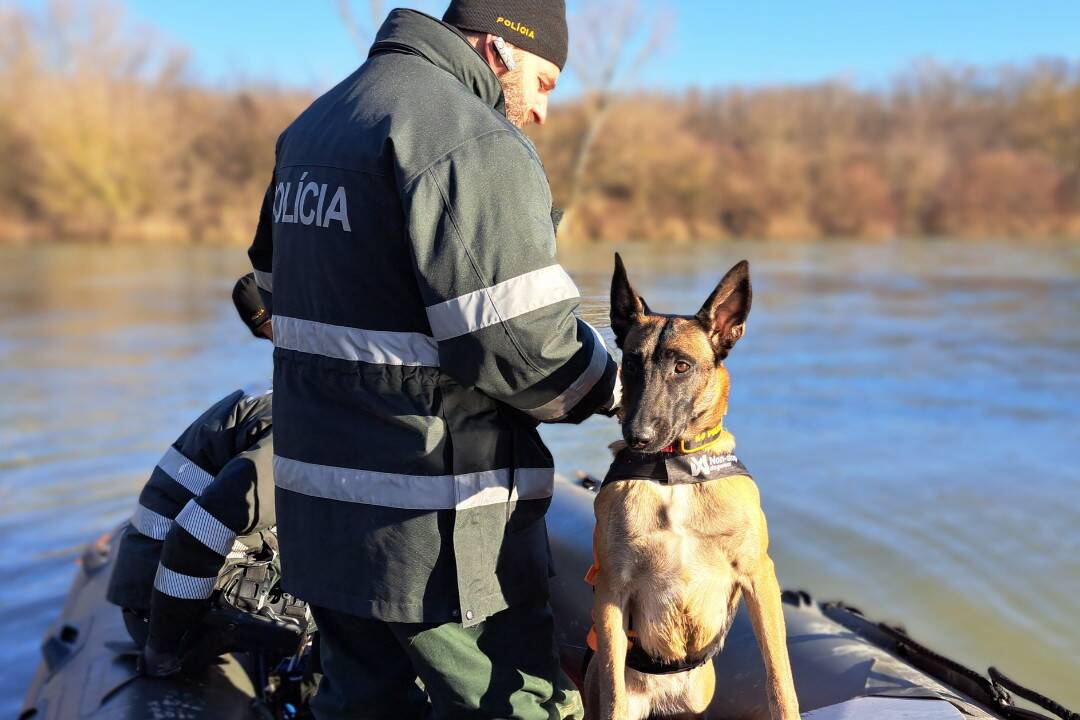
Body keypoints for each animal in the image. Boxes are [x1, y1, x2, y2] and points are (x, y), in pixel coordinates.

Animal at [583, 255, 803, 716]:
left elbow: (779, 677)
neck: (675, 470)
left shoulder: (760, 576)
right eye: (632, 363)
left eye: (681, 366)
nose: (637, 436)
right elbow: (613, 691)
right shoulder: (611, 590)